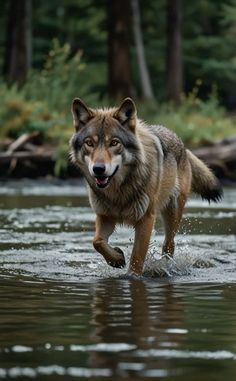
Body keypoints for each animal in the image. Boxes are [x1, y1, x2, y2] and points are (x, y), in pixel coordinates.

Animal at [69, 96, 222, 274]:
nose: (98, 169)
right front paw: (117, 258)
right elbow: (97, 242)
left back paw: (165, 266)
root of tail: (183, 144)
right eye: (89, 143)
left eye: (114, 143)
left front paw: (132, 275)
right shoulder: (104, 215)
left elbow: (136, 258)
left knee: (169, 244)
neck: (119, 191)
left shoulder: (146, 219)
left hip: (172, 213)